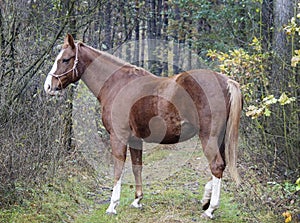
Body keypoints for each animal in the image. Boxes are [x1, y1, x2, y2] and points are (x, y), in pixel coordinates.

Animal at [43, 34, 243, 219]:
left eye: (65, 59)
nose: (48, 86)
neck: (117, 84)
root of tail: (225, 82)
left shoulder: (118, 137)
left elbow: (118, 168)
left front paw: (112, 206)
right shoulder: (135, 139)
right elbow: (137, 166)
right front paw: (137, 200)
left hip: (208, 136)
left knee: (216, 165)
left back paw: (210, 209)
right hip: (219, 138)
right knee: (221, 165)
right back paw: (206, 200)